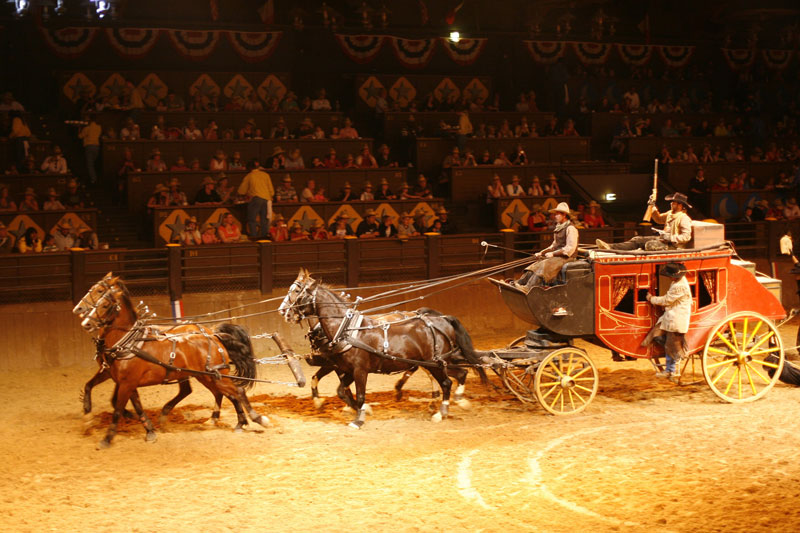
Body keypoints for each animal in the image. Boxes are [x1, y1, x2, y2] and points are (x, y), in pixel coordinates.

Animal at [76, 274, 274, 444]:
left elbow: (118, 408)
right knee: (219, 393)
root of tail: (213, 335)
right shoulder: (116, 377)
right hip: (205, 375)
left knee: (236, 392)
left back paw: (256, 419)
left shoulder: (127, 382)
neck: (128, 342)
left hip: (213, 375)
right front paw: (89, 418)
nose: (83, 319)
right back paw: (228, 421)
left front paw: (110, 435)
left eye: (102, 299)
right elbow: (95, 389)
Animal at [280, 268, 488, 426]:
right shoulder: (346, 369)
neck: (346, 329)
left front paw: (358, 419)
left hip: (435, 363)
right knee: (460, 374)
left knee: (447, 382)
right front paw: (357, 409)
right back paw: (455, 401)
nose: (283, 311)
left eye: (296, 292)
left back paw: (440, 411)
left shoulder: (359, 370)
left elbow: (360, 394)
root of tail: (441, 320)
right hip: (438, 362)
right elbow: (341, 391)